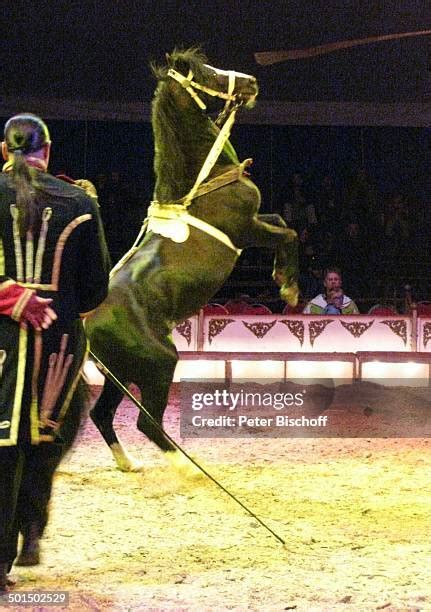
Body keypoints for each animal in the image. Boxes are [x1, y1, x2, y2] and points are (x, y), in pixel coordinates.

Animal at [86, 50, 298, 470]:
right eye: (208, 73)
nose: (250, 83)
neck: (202, 183)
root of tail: (88, 322)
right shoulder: (246, 229)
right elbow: (290, 233)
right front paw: (288, 286)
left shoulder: (255, 224)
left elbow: (282, 223)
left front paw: (283, 278)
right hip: (160, 362)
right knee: (146, 422)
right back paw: (188, 470)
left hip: (121, 372)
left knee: (101, 414)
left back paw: (128, 463)